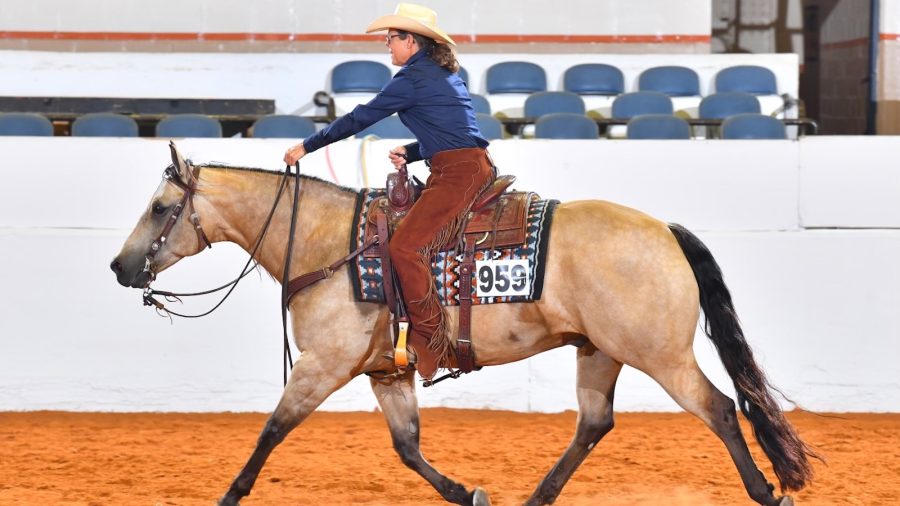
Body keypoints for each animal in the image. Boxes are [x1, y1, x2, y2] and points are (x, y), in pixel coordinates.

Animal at [110, 143, 819, 506]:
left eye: (161, 207)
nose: (120, 266)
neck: (328, 244)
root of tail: (666, 231)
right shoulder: (383, 372)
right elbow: (407, 446)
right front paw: (465, 492)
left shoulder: (324, 364)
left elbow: (272, 429)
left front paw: (230, 496)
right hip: (599, 351)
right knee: (594, 424)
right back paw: (534, 501)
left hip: (660, 355)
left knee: (721, 408)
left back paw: (767, 493)